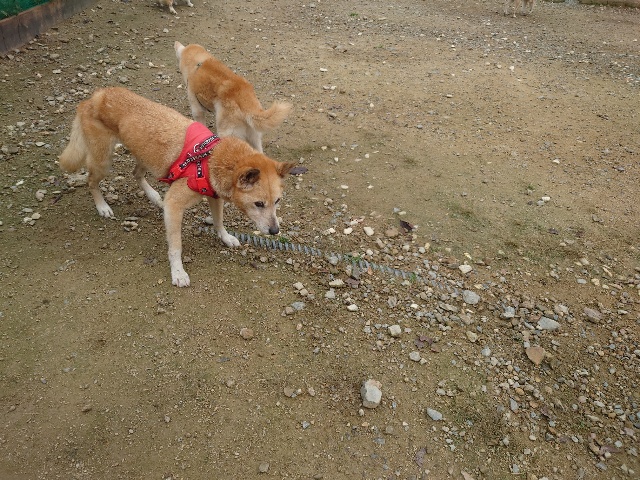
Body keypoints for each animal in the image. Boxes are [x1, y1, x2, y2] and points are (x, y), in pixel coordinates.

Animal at [59, 87, 295, 287]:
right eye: (259, 204)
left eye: (277, 201)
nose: (275, 231)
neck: (212, 159)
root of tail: (92, 99)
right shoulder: (174, 206)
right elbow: (176, 247)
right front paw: (178, 273)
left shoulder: (214, 196)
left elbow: (219, 222)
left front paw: (226, 237)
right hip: (103, 161)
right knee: (91, 182)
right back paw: (103, 207)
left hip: (147, 157)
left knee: (136, 174)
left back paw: (154, 196)